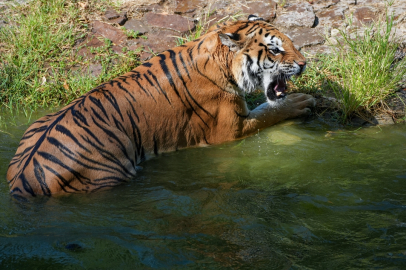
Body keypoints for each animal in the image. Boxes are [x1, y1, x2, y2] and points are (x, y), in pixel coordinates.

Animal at [7, 14, 318, 196]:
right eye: (275, 49)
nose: (304, 64)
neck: (219, 60)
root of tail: (23, 182)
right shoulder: (230, 129)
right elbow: (269, 112)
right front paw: (302, 100)